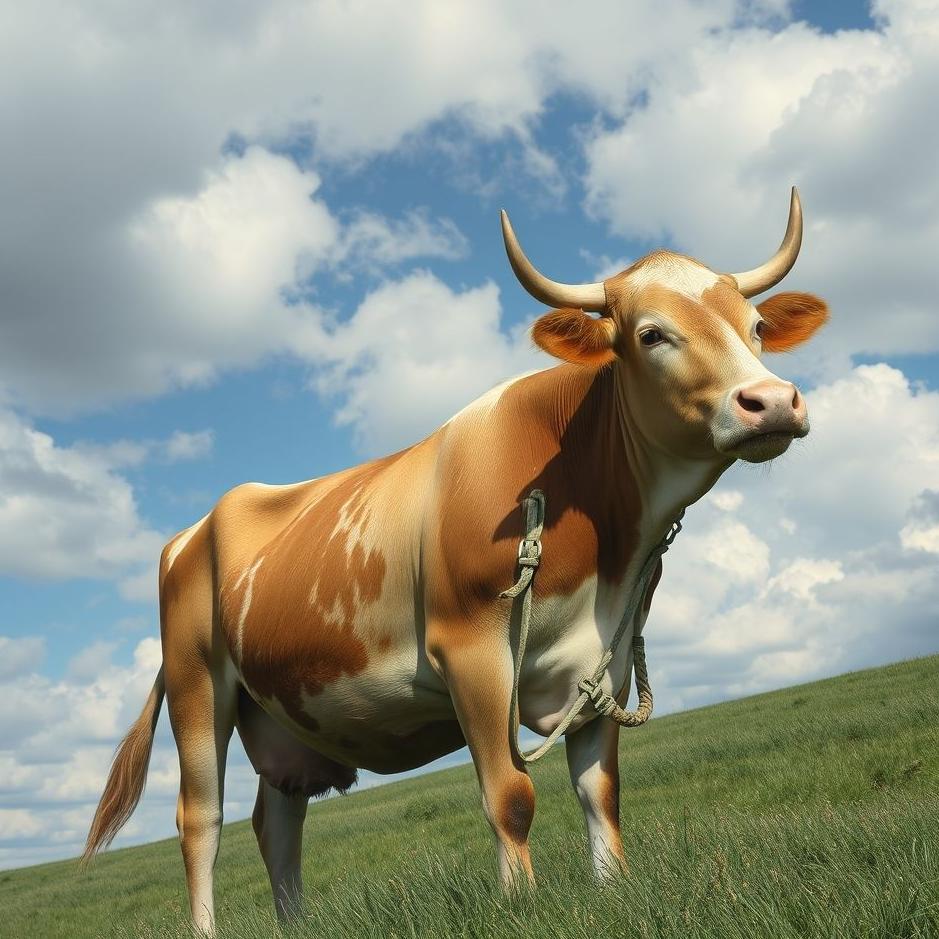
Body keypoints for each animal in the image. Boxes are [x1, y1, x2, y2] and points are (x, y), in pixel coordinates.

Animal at [83, 189, 828, 935]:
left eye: (757, 326)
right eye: (651, 334)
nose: (771, 402)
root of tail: (197, 526)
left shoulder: (603, 665)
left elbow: (600, 793)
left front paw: (613, 889)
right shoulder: (471, 651)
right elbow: (511, 795)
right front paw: (520, 904)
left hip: (282, 711)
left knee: (277, 823)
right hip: (196, 686)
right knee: (201, 822)